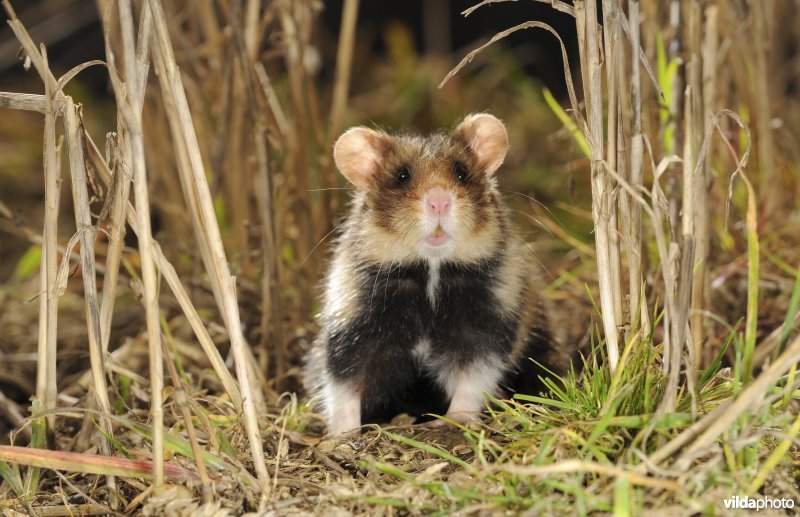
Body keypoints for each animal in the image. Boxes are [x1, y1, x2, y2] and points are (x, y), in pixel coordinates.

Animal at [304, 113, 568, 435]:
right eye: (401, 176)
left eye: (461, 173)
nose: (439, 201)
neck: (431, 270)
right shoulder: (352, 330)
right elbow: (345, 388)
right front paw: (343, 435)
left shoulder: (486, 327)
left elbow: (471, 380)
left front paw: (455, 421)